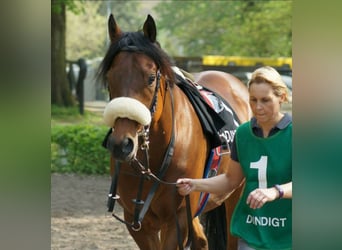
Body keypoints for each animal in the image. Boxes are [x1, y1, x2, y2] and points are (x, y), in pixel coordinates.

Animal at [97, 14, 250, 250]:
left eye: (151, 77)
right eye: (111, 78)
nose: (122, 144)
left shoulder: (176, 219)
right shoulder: (138, 222)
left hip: (234, 193)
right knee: (201, 240)